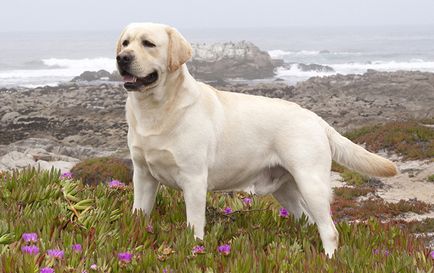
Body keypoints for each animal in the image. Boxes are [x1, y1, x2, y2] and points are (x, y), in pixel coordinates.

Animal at [114, 22, 396, 255]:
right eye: (126, 42)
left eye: (148, 43)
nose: (122, 58)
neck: (156, 110)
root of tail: (317, 119)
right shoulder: (143, 175)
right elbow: (139, 213)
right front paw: (135, 235)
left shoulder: (193, 180)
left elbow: (194, 226)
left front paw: (195, 249)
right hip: (286, 189)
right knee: (307, 220)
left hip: (311, 183)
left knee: (330, 230)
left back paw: (329, 259)